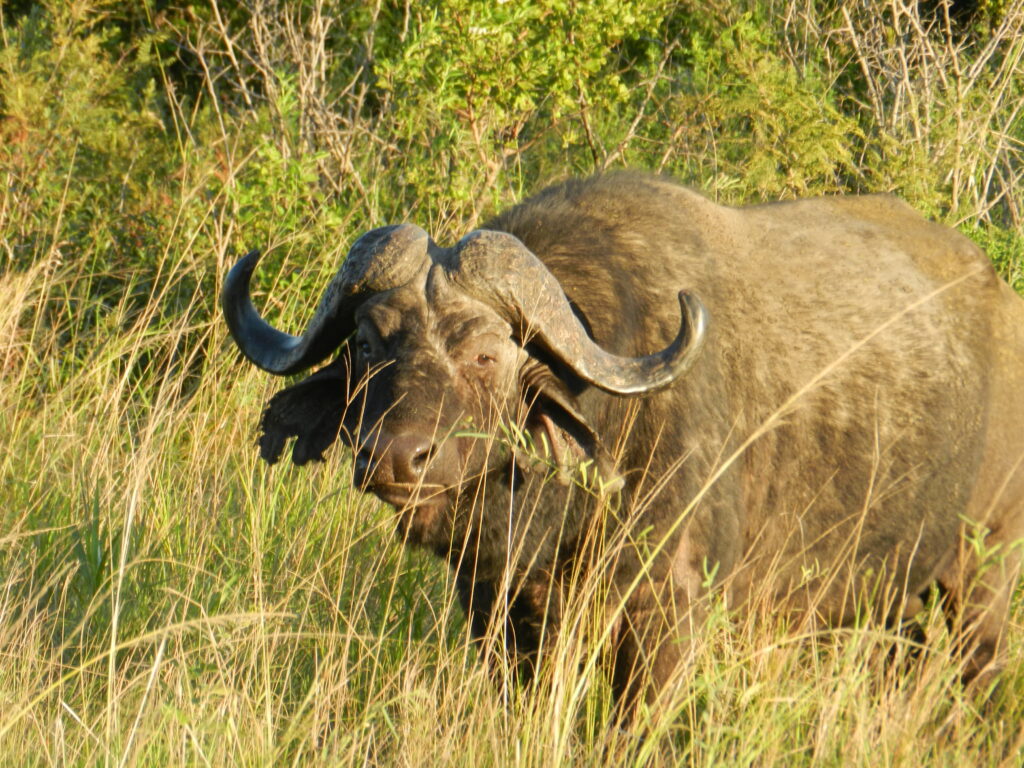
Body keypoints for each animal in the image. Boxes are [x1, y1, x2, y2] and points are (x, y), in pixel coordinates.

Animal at [222, 172, 1024, 713]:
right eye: (366, 344)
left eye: (485, 354)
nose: (394, 456)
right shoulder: (498, 613)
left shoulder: (669, 615)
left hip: (980, 581)